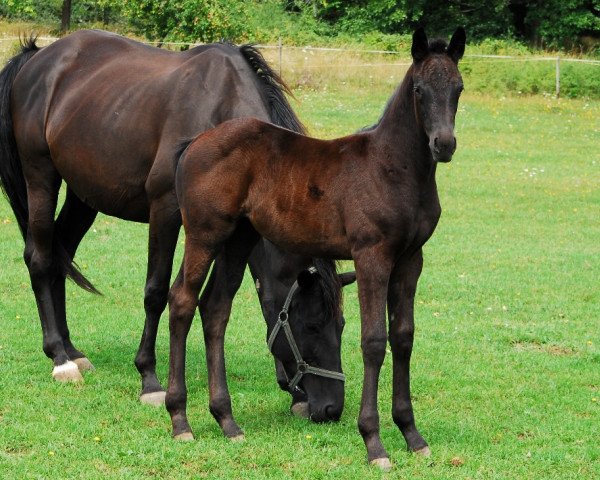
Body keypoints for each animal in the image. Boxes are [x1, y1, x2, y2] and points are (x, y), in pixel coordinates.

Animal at [0, 29, 352, 420]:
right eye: (312, 325)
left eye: (341, 325)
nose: (331, 408)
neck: (222, 118)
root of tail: (39, 57)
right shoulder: (166, 210)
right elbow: (156, 293)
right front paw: (150, 380)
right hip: (41, 177)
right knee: (41, 259)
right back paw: (60, 359)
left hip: (82, 195)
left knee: (60, 257)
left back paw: (73, 350)